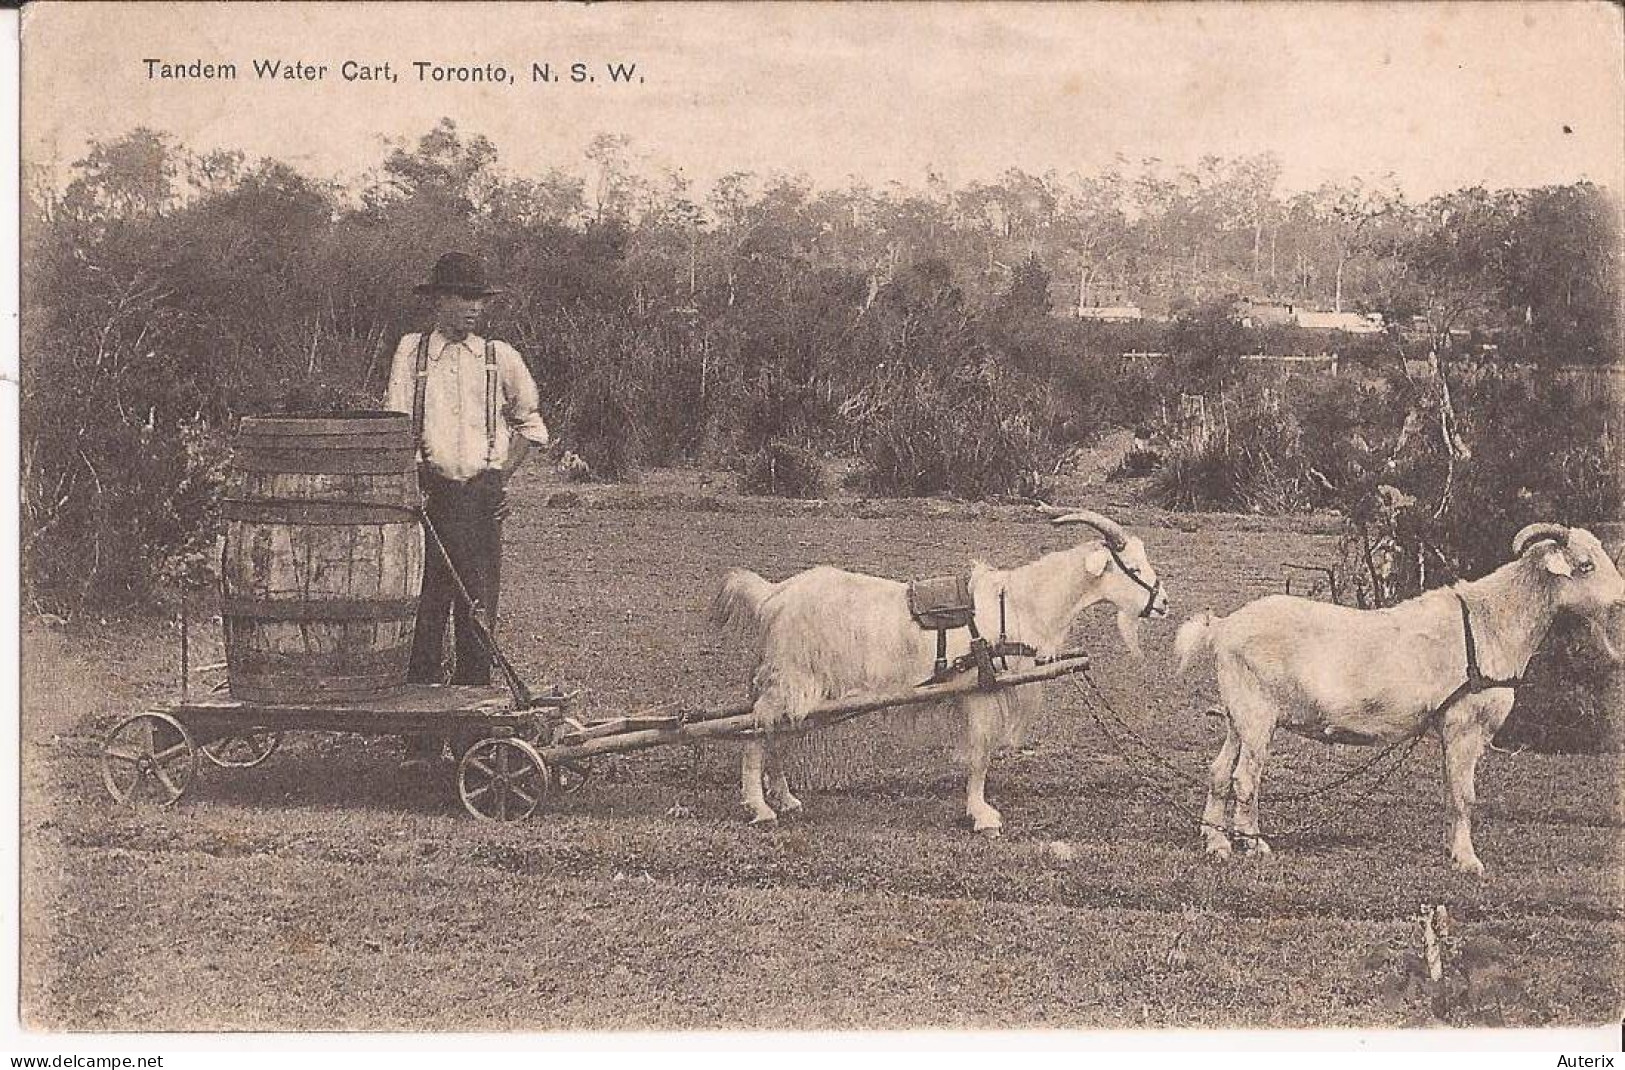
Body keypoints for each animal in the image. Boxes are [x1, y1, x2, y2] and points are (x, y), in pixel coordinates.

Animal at [711, 513, 1170, 829]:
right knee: (756, 736)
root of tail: (775, 594)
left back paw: (786, 799)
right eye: (1132, 567)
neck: (1019, 603)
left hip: (808, 688)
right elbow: (980, 757)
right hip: (788, 681)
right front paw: (982, 816)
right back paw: (762, 808)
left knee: (779, 736)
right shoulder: (983, 693)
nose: (1164, 603)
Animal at [1183, 520, 1625, 871]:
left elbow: (1451, 790)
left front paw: (1452, 851)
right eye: (1585, 565)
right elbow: (1464, 796)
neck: (1490, 622)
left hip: (1238, 714)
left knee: (1219, 771)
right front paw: (1468, 860)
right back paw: (1253, 845)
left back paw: (1217, 842)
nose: (1621, 600)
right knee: (1244, 778)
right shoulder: (1465, 724)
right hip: (1257, 714)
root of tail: (1224, 626)